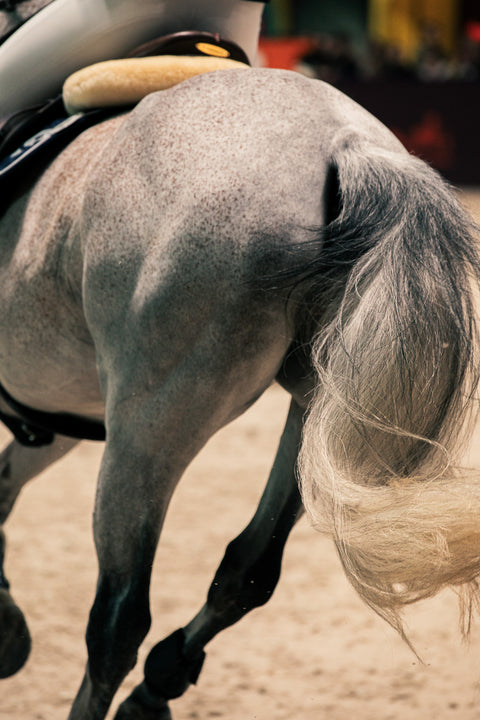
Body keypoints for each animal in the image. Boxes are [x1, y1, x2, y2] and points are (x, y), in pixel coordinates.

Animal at [0, 67, 480, 720]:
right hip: (318, 414)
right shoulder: (58, 414)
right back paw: (156, 686)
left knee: (117, 623)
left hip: (147, 432)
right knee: (247, 570)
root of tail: (346, 140)